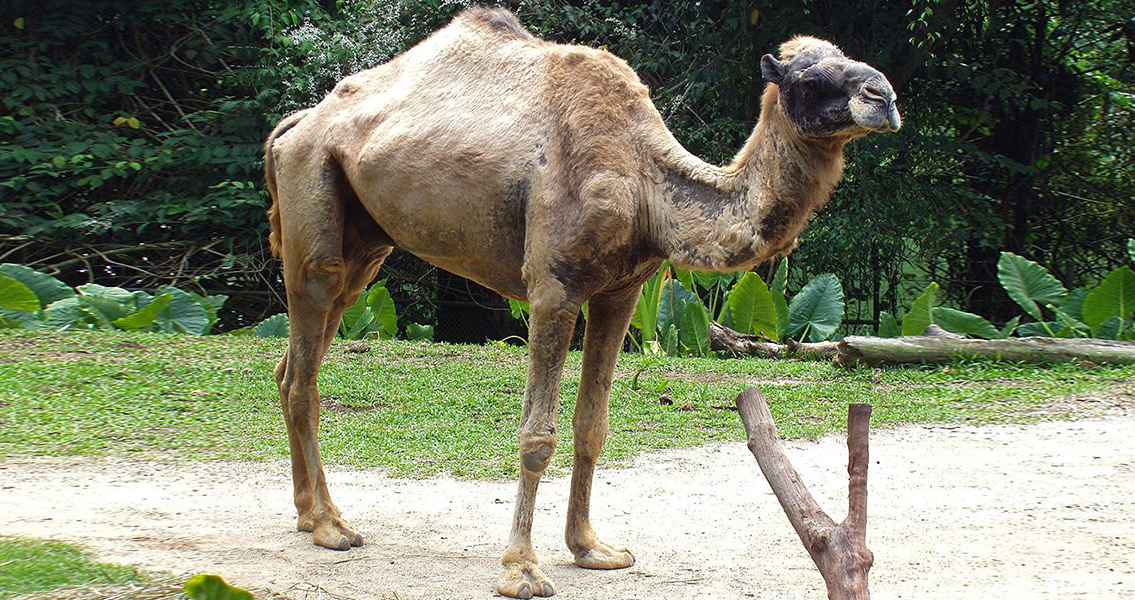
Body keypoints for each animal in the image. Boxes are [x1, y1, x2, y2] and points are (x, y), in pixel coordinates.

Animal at [265, 7, 903, 594]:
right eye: (809, 78)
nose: (884, 96)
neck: (646, 183)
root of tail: (296, 125)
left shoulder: (623, 291)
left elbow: (591, 423)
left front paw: (591, 548)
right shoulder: (553, 287)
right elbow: (536, 435)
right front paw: (521, 570)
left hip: (366, 246)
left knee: (291, 364)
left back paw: (307, 514)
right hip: (313, 205)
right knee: (304, 364)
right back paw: (332, 527)